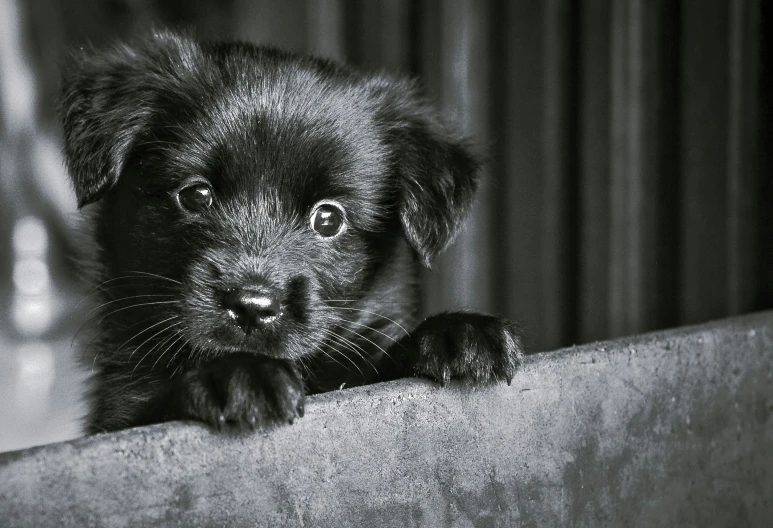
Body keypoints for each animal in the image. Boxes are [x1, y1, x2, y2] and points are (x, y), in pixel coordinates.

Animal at [58, 31, 520, 434]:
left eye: (328, 219)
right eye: (195, 195)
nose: (251, 306)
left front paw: (457, 333)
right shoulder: (117, 414)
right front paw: (239, 374)